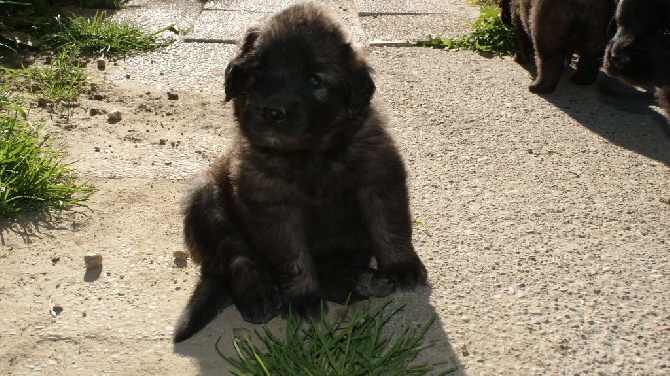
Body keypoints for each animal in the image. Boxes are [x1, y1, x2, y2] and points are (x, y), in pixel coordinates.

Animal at [171, 3, 428, 344]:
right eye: (256, 72)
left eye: (315, 81)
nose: (271, 112)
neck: (311, 156)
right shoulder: (273, 207)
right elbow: (291, 256)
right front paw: (303, 297)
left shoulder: (379, 177)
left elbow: (391, 226)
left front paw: (401, 267)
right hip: (205, 196)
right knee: (233, 255)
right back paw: (257, 293)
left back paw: (363, 281)